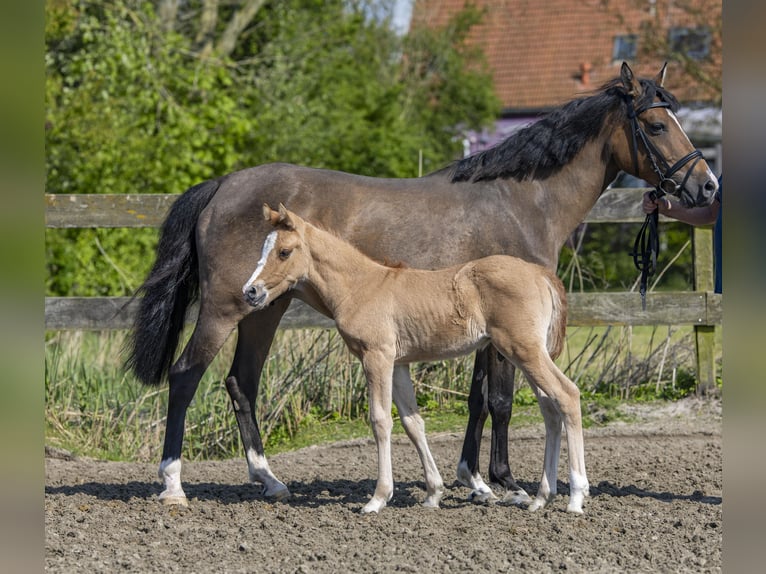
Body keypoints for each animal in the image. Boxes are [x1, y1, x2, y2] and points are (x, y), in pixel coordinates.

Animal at [243, 205, 592, 516]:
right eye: (263, 248)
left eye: (284, 252)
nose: (250, 291)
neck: (360, 286)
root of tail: (541, 274)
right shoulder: (398, 364)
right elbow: (413, 423)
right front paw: (433, 494)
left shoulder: (377, 357)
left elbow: (380, 420)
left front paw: (377, 499)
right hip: (524, 353)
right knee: (550, 409)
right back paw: (541, 498)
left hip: (523, 350)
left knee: (567, 395)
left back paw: (576, 496)